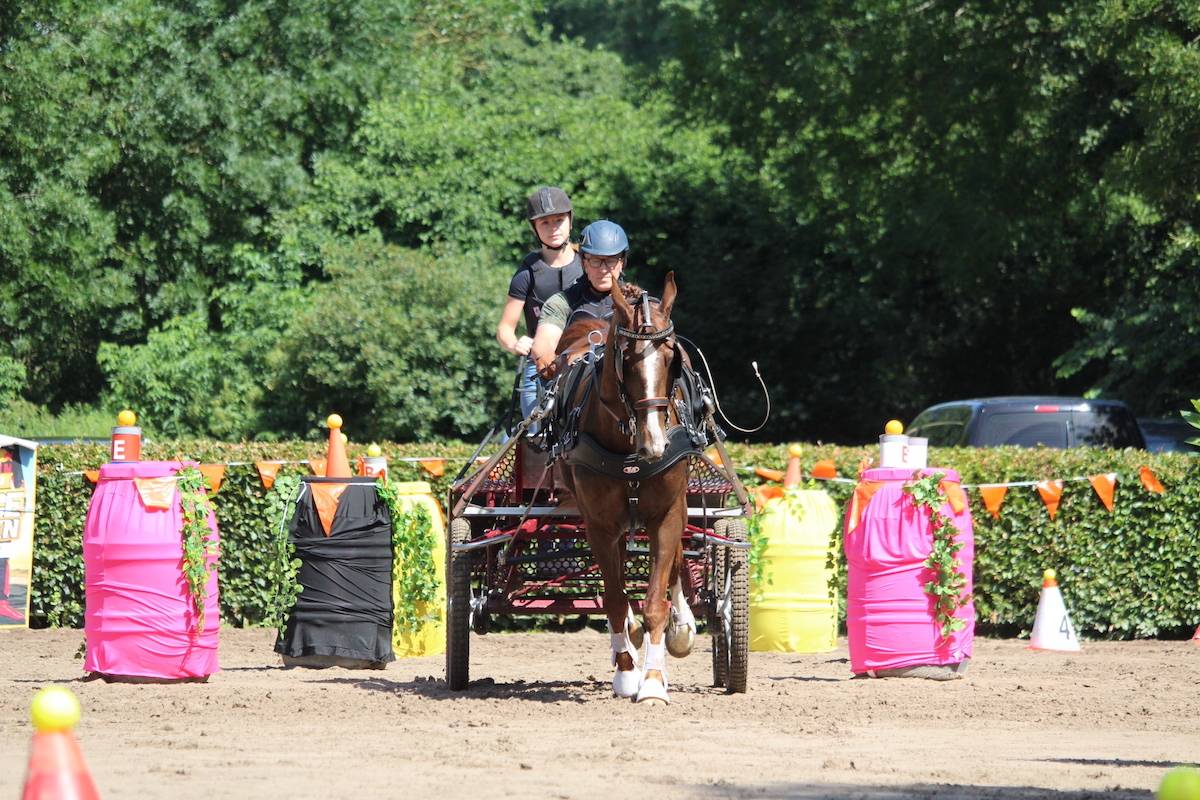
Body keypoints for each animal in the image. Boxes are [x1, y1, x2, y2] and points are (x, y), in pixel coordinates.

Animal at [550, 272, 697, 705]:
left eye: (671, 356)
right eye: (627, 359)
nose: (655, 443)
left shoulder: (666, 515)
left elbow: (656, 600)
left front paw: (653, 681)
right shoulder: (599, 523)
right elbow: (615, 600)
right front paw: (628, 673)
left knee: (675, 563)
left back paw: (680, 629)